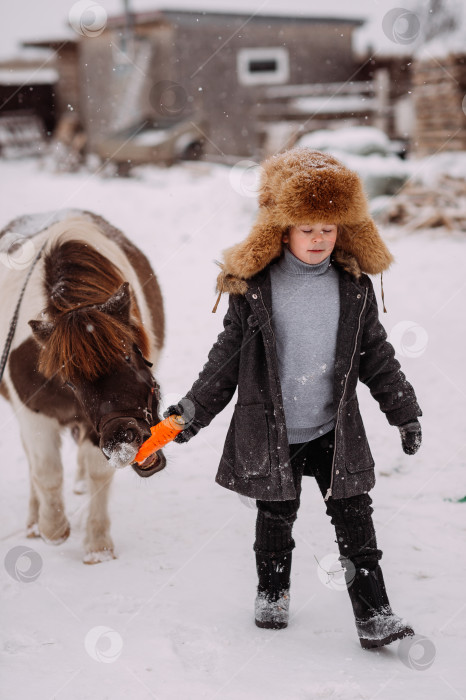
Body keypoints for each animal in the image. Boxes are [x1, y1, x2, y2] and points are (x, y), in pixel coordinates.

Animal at [0, 208, 167, 564]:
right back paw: (34, 521)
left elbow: (99, 474)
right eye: (68, 380)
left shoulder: (95, 428)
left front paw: (98, 546)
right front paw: (52, 528)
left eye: (129, 356)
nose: (123, 437)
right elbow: (46, 472)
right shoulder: (33, 415)